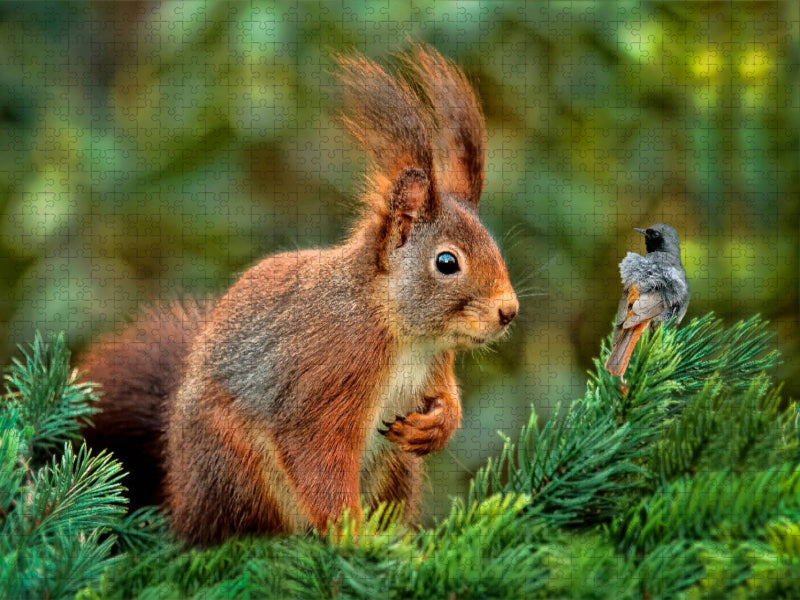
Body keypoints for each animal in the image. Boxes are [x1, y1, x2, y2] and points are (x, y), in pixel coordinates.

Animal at [77, 44, 518, 546]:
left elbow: (447, 399)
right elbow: (316, 457)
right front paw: (354, 537)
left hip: (396, 468)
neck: (403, 333)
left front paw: (439, 424)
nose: (508, 311)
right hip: (236, 465)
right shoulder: (330, 374)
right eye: (447, 262)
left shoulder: (435, 365)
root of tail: (181, 496)